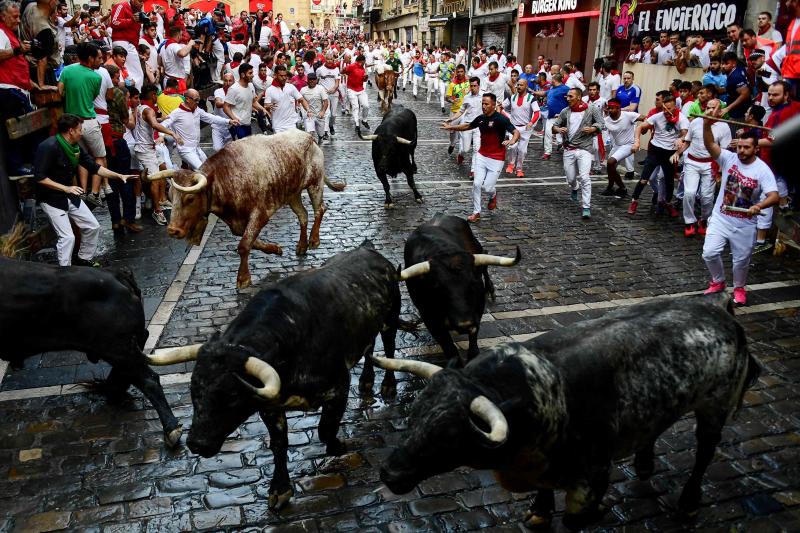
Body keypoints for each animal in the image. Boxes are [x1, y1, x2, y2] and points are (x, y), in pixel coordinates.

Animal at [146, 129, 344, 286]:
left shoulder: (260, 214)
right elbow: (249, 241)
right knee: (303, 215)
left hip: (315, 184)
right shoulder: (237, 223)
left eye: (190, 198)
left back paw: (314, 240)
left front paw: (243, 278)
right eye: (171, 196)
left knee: (320, 209)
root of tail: (309, 137)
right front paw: (275, 249)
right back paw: (302, 245)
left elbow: (244, 245)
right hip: (292, 194)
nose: (173, 230)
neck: (226, 177)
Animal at [150, 240, 410, 508]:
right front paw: (280, 488)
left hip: (391, 318)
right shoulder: (270, 407)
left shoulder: (338, 387)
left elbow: (326, 429)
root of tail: (369, 250)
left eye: (231, 396)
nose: (196, 443)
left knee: (388, 346)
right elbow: (278, 445)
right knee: (369, 347)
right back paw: (367, 381)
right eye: (193, 389)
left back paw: (388, 386)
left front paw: (338, 446)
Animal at [372, 296, 760, 528]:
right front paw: (539, 512)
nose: (389, 472)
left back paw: (689, 502)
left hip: (714, 408)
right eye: (415, 414)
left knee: (705, 451)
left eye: (450, 435)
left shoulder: (592, 478)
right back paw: (644, 464)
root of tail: (721, 311)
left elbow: (575, 520)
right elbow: (543, 498)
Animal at [404, 214, 520, 364]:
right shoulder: (429, 318)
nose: (464, 324)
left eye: (473, 283)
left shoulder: (477, 309)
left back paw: (491, 289)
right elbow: (450, 349)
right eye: (437, 287)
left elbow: (473, 347)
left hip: (478, 249)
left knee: (485, 262)